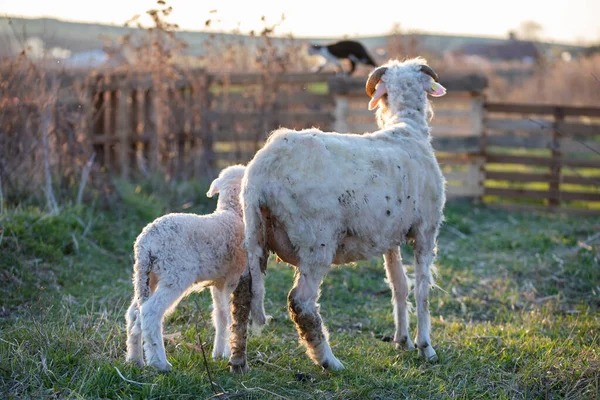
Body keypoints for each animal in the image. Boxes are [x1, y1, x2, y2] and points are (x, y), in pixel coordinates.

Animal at [125, 164, 247, 370]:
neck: (232, 213)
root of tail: (145, 244)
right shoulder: (233, 278)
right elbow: (231, 316)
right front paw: (230, 354)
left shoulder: (219, 281)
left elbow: (221, 315)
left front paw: (218, 354)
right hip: (175, 275)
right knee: (149, 313)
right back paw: (160, 363)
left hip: (146, 277)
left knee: (134, 314)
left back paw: (135, 360)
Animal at [227, 57, 448, 374]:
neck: (406, 128)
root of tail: (262, 170)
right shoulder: (426, 229)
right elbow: (422, 291)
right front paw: (426, 347)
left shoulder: (390, 236)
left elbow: (399, 286)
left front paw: (402, 340)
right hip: (315, 239)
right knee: (301, 303)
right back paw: (329, 360)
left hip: (255, 233)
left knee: (244, 293)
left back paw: (238, 361)